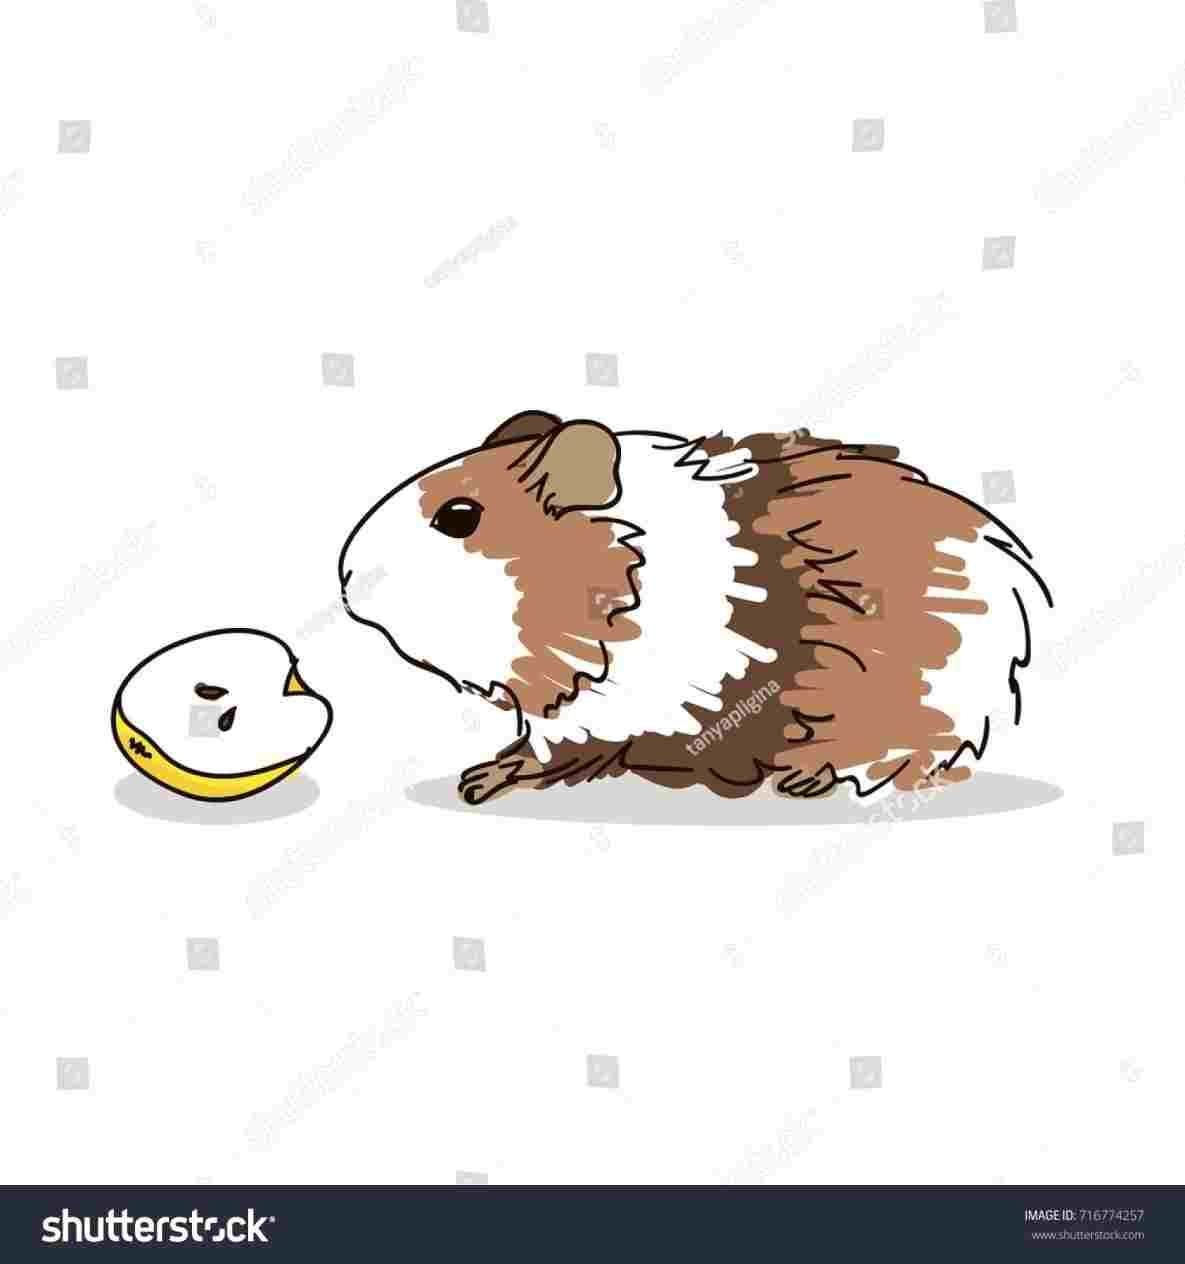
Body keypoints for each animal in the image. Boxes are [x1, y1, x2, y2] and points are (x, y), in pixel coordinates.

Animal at [338, 410, 1052, 804]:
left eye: (460, 516)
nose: (345, 578)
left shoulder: (596, 716)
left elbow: (548, 755)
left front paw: (479, 783)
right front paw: (478, 775)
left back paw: (802, 782)